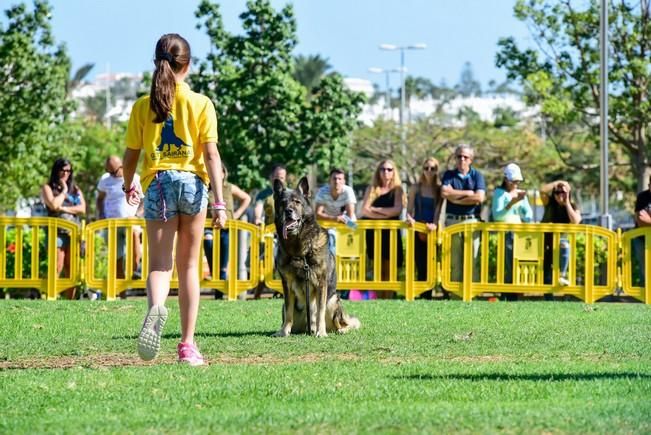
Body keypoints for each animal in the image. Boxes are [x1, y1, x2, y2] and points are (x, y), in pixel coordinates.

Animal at [272, 177, 362, 338]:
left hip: (333, 300)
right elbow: (289, 312)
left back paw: (336, 330)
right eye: (283, 203)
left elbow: (320, 311)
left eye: (297, 202)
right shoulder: (287, 285)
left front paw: (321, 332)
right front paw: (283, 331)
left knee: (343, 323)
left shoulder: (321, 284)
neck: (299, 249)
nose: (289, 211)